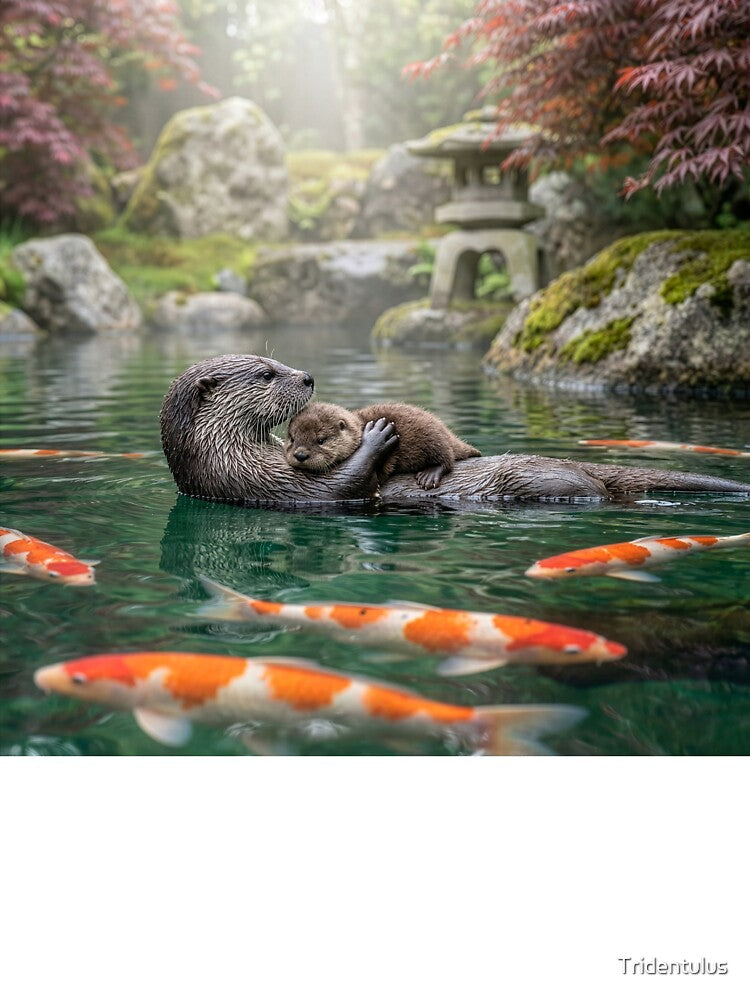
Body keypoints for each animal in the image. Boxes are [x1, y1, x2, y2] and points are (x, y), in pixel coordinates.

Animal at [285, 401, 481, 489]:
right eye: (292, 438)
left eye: (321, 440)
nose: (300, 455)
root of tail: (449, 435)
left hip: (432, 437)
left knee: (447, 459)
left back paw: (430, 475)